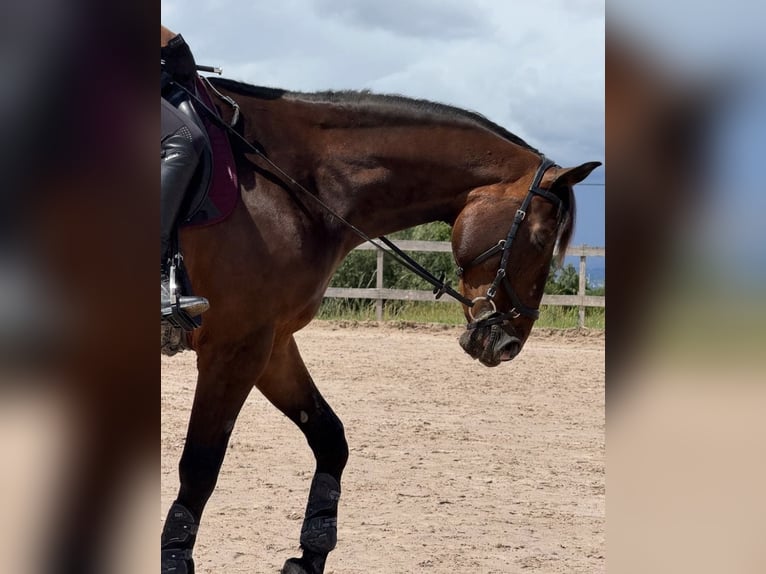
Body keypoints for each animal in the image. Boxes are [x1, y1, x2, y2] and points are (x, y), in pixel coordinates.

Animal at [160, 76, 600, 574]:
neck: (293, 183)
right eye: (542, 238)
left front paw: (310, 555)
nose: (509, 343)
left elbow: (330, 437)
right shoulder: (235, 346)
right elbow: (200, 466)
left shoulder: (272, 342)